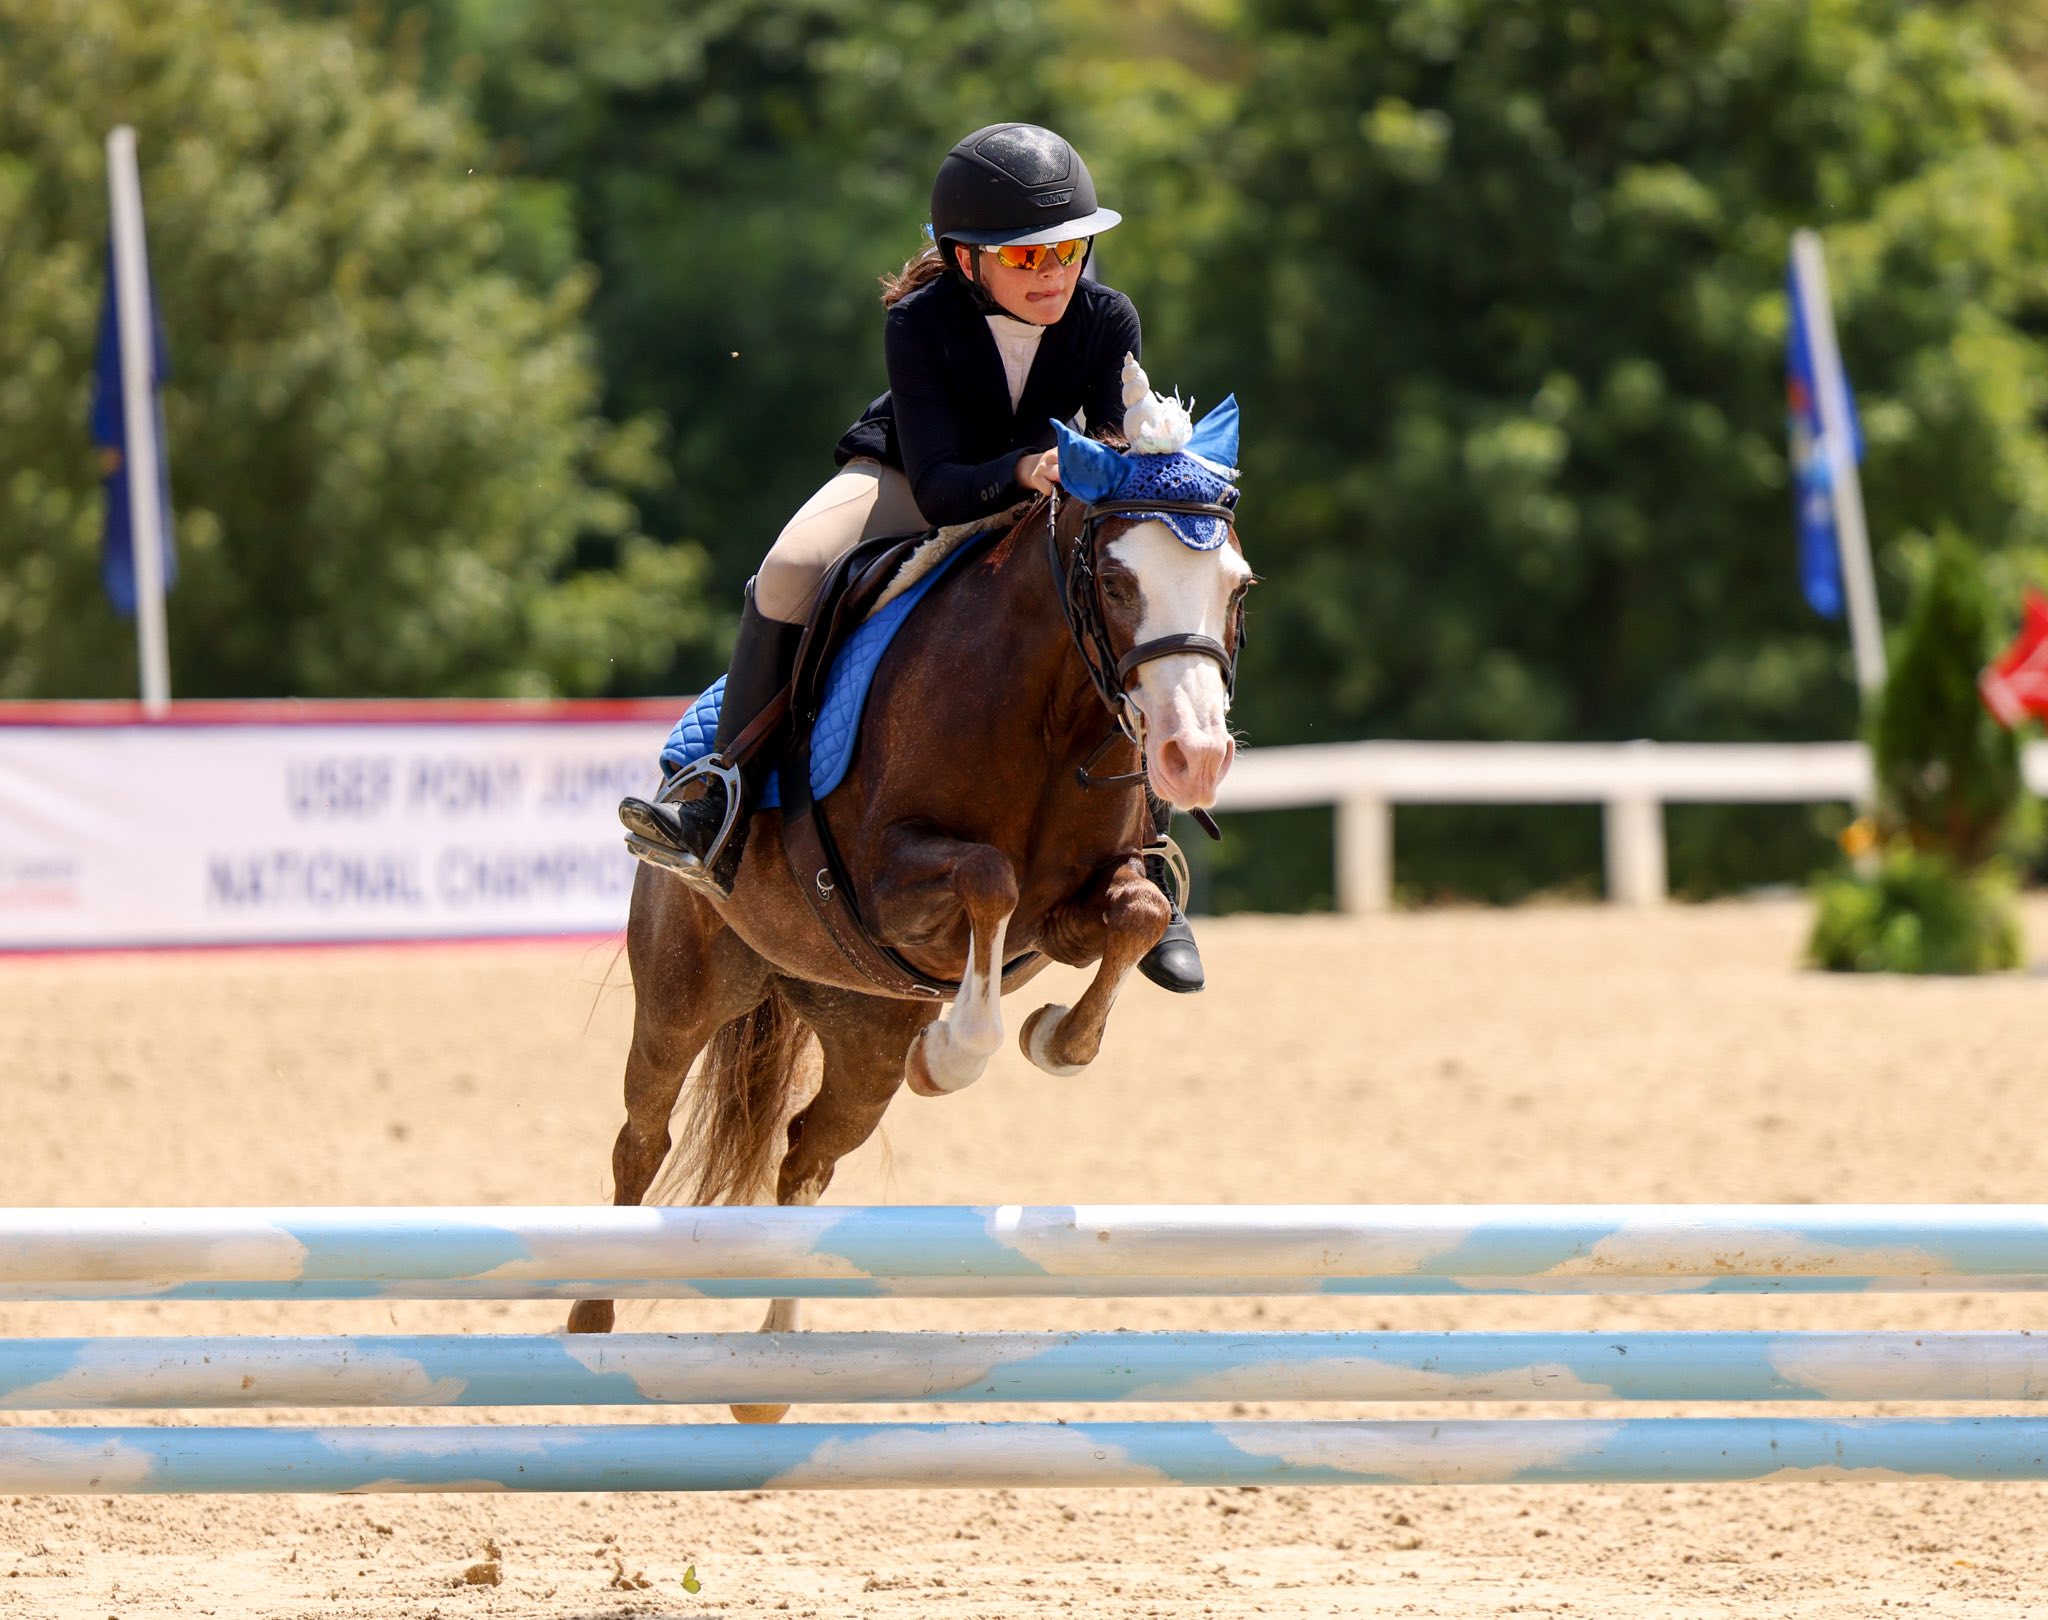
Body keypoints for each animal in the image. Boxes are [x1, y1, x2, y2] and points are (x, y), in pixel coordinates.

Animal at [568, 361, 1251, 1424]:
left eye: (1236, 586)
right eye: (1114, 580)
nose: (1195, 758)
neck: (1050, 712)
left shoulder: (1075, 906)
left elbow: (1134, 916)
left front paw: (1055, 1040)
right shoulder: (888, 878)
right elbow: (987, 876)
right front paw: (958, 1053)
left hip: (861, 1029)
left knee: (806, 1154)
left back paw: (773, 1370)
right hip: (684, 990)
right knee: (643, 1135)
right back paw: (595, 1319)